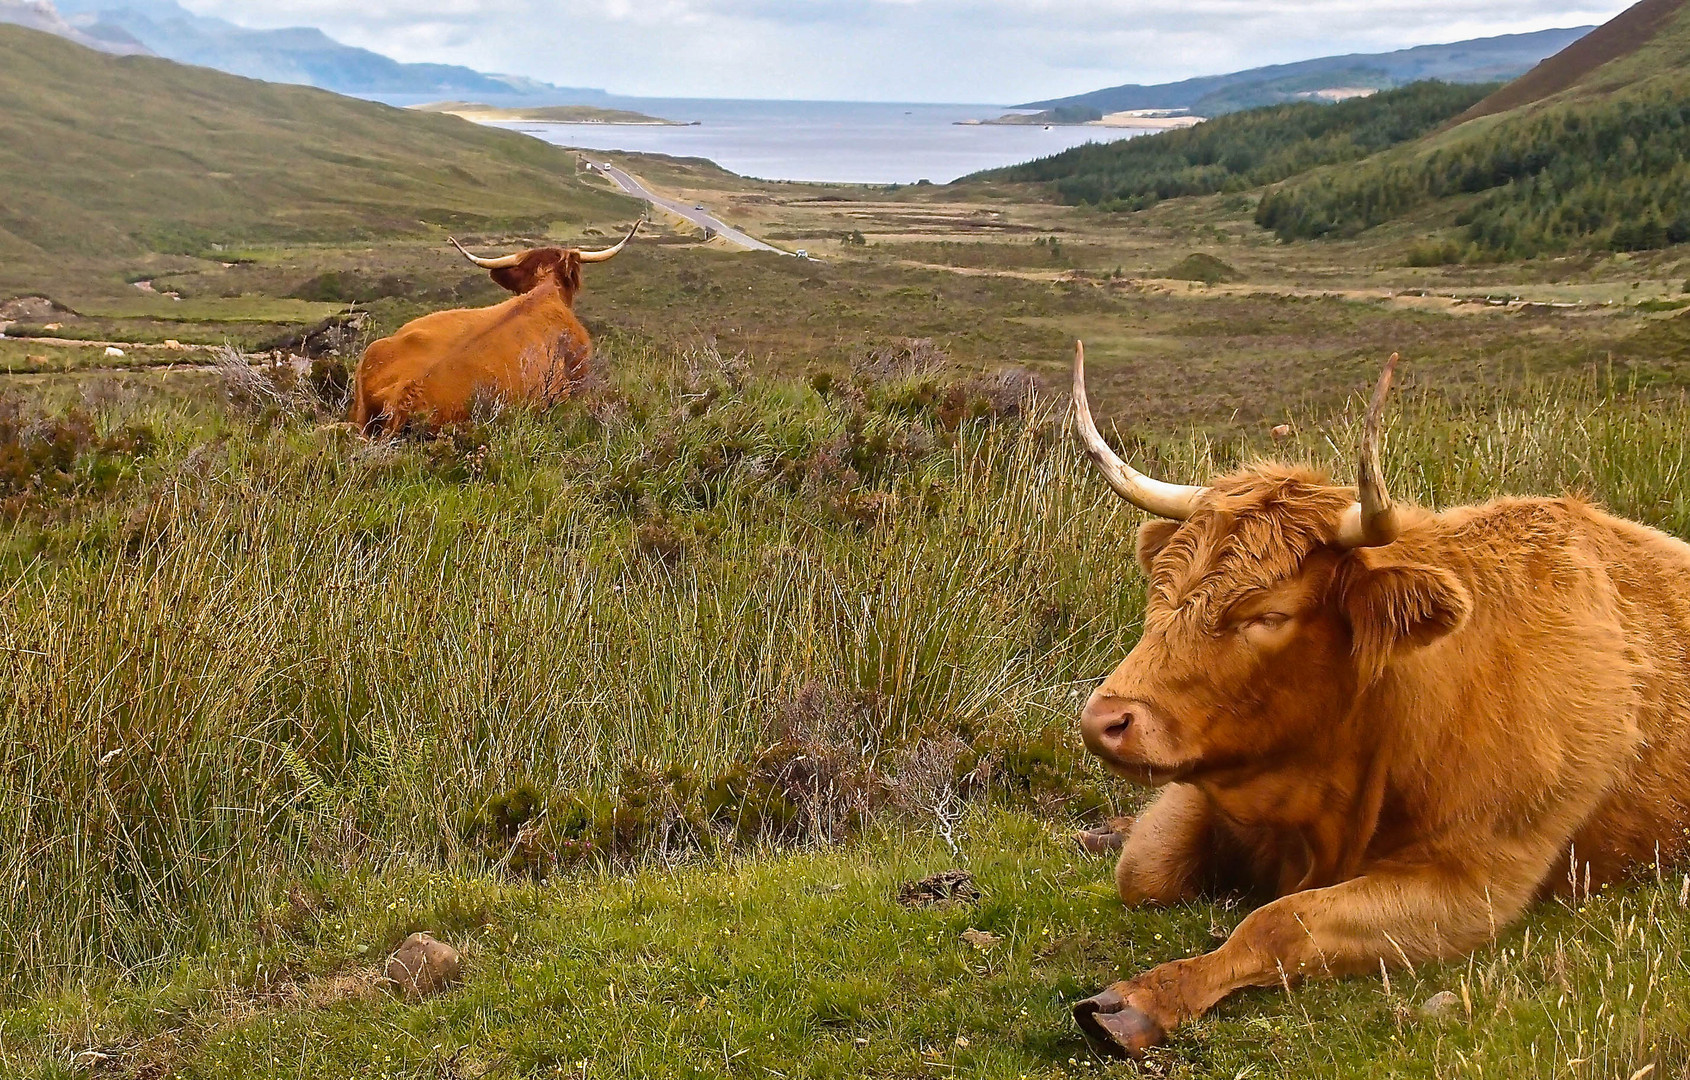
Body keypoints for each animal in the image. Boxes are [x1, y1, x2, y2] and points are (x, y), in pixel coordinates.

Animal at [1068, 341, 1690, 1061]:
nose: (1104, 722)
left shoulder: (1473, 885)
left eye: (1269, 614)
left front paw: (1144, 999)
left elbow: (1281, 922)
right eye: (1161, 589)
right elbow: (1145, 870)